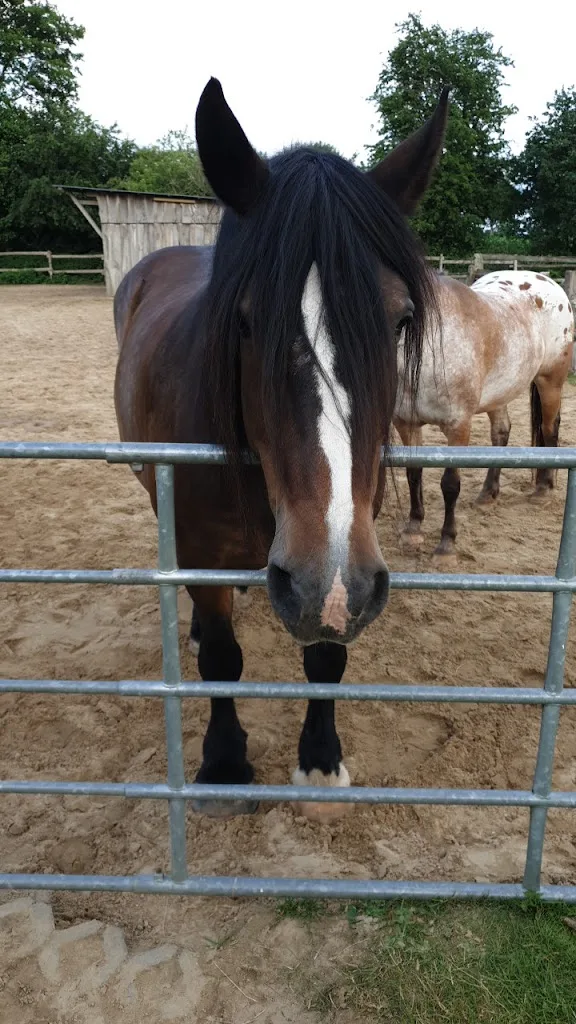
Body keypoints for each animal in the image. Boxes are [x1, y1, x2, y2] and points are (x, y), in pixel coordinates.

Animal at [114, 77, 448, 820]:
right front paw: (223, 766)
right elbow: (222, 662)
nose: (328, 583)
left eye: (400, 320)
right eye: (244, 321)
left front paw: (321, 762)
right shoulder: (205, 546)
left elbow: (325, 656)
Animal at [394, 270, 575, 557]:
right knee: (501, 433)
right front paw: (413, 529)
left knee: (549, 429)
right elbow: (413, 473)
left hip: (550, 382)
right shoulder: (405, 423)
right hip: (500, 392)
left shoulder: (459, 426)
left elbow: (450, 483)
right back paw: (487, 494)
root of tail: (547, 281)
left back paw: (542, 491)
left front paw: (446, 545)